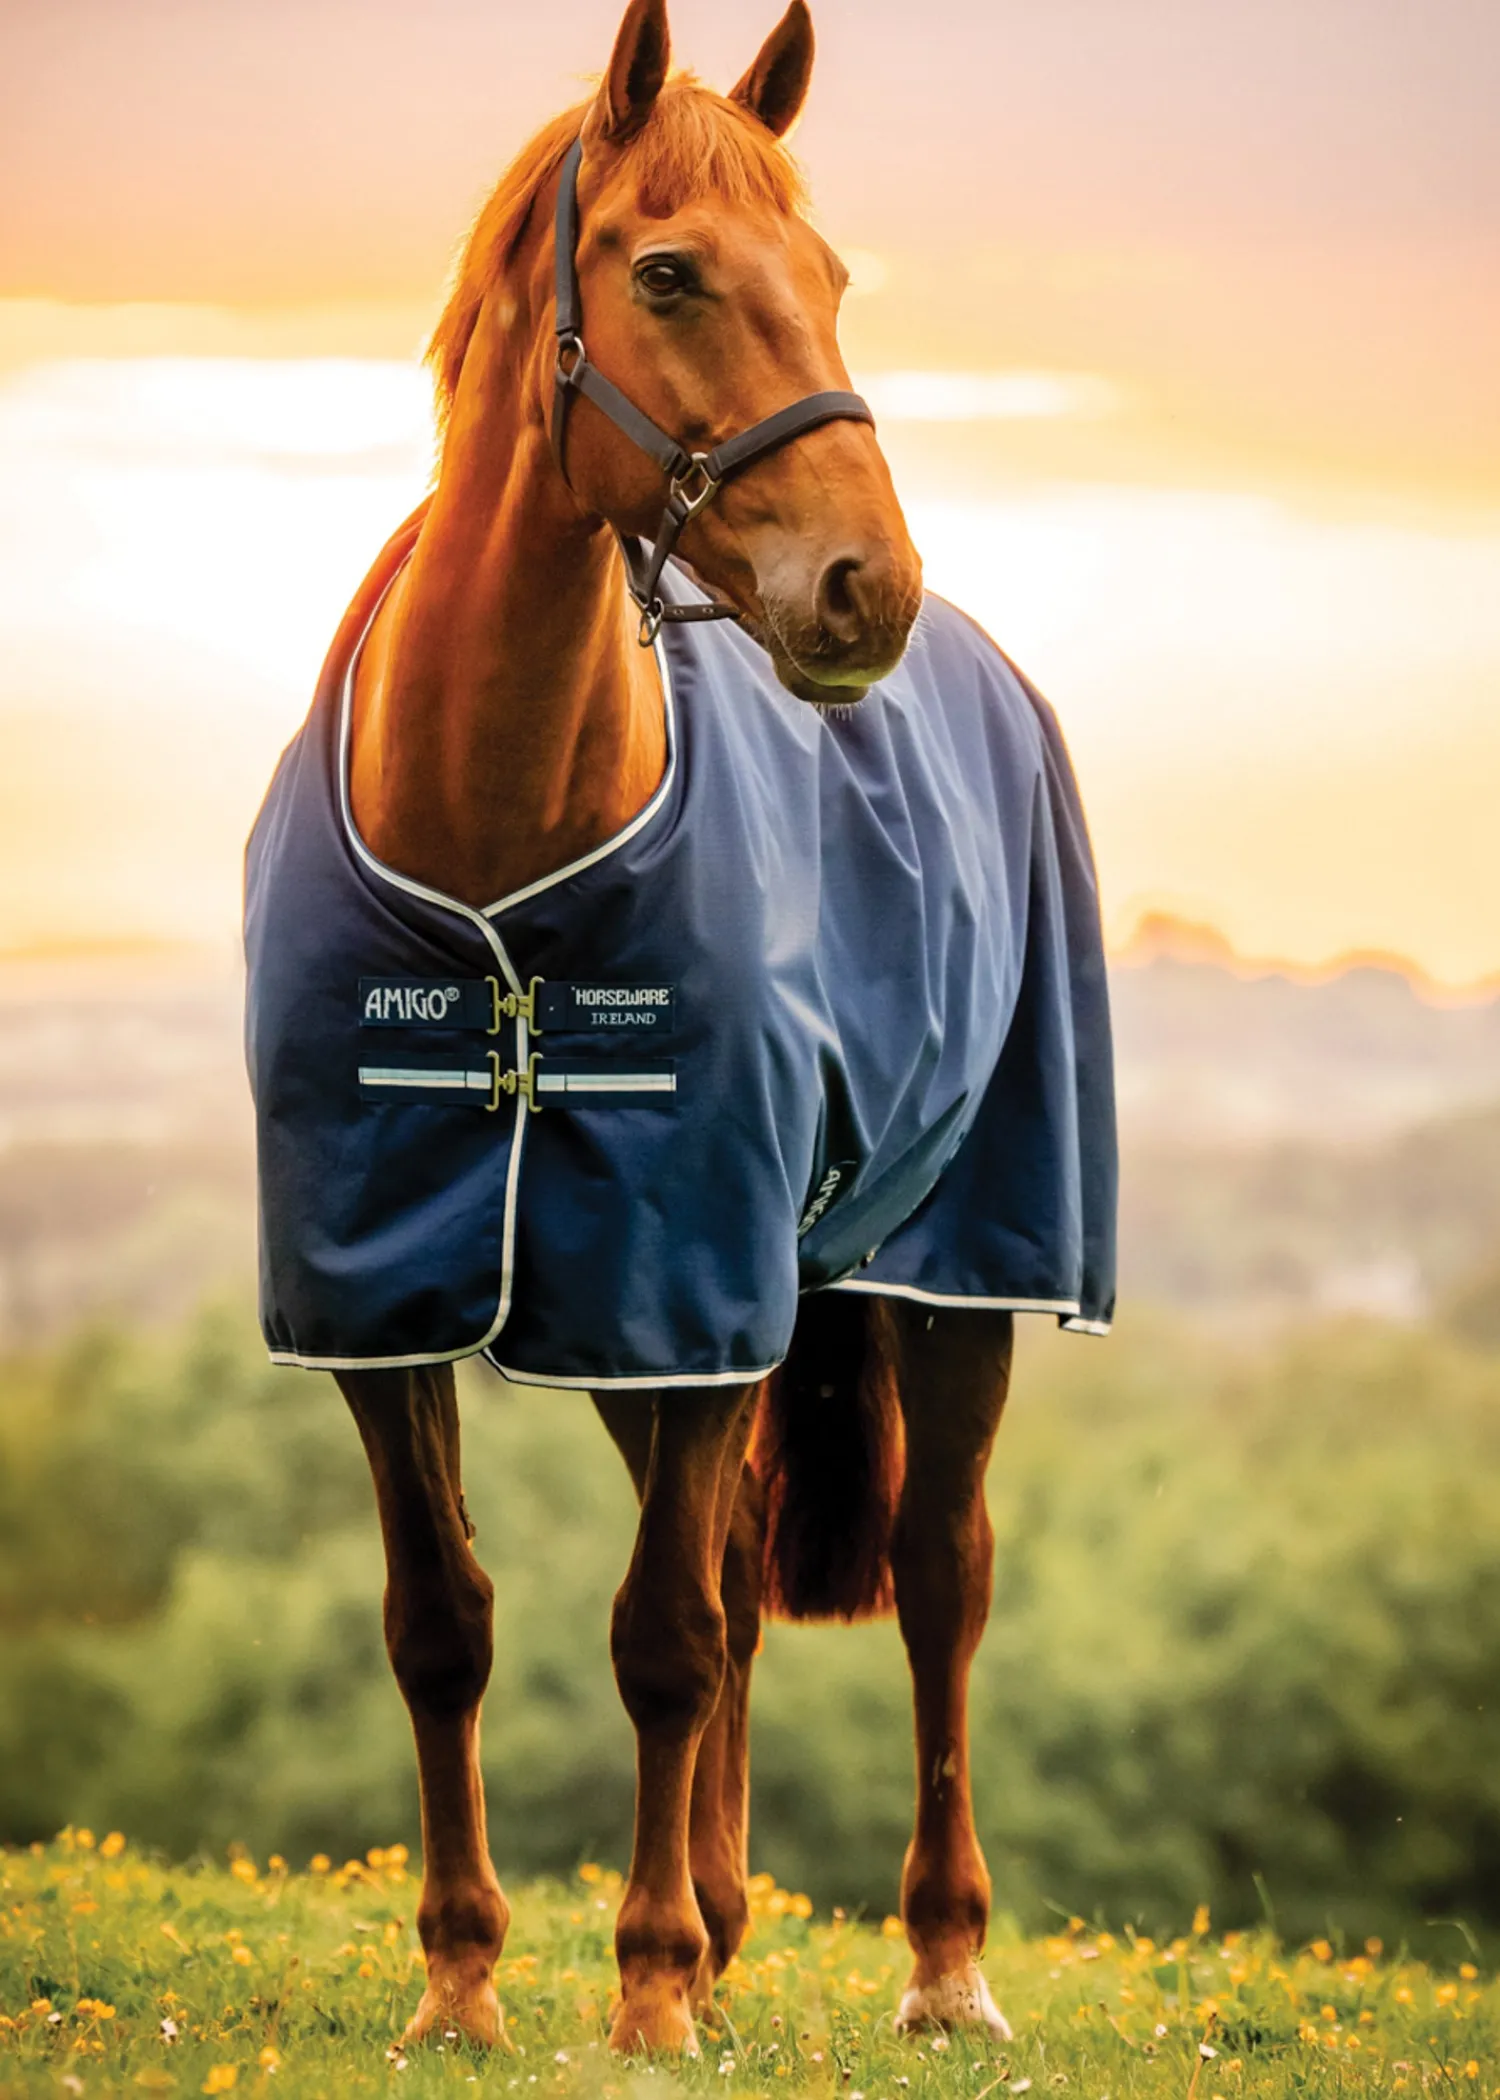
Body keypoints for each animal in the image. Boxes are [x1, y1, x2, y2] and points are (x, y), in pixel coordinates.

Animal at [244, 0, 1116, 2058]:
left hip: (949, 1270)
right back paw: (720, 1926)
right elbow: (447, 1623)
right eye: (667, 272)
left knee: (938, 1576)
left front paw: (640, 1995)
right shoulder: (398, 1300)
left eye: (834, 275)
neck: (495, 853)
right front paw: (466, 1985)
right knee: (720, 1564)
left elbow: (662, 1637)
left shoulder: (700, 1270)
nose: (867, 590)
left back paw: (939, 1965)